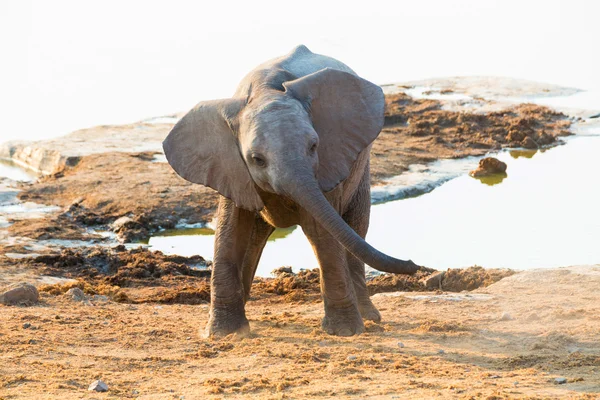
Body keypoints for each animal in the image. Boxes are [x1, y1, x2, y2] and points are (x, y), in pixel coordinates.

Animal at [162, 44, 420, 338]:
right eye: (257, 160)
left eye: (313, 146)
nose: (414, 265)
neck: (265, 90)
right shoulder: (230, 166)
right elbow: (230, 230)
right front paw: (223, 334)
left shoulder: (327, 163)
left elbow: (322, 232)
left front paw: (345, 332)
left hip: (360, 167)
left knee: (355, 226)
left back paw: (369, 318)